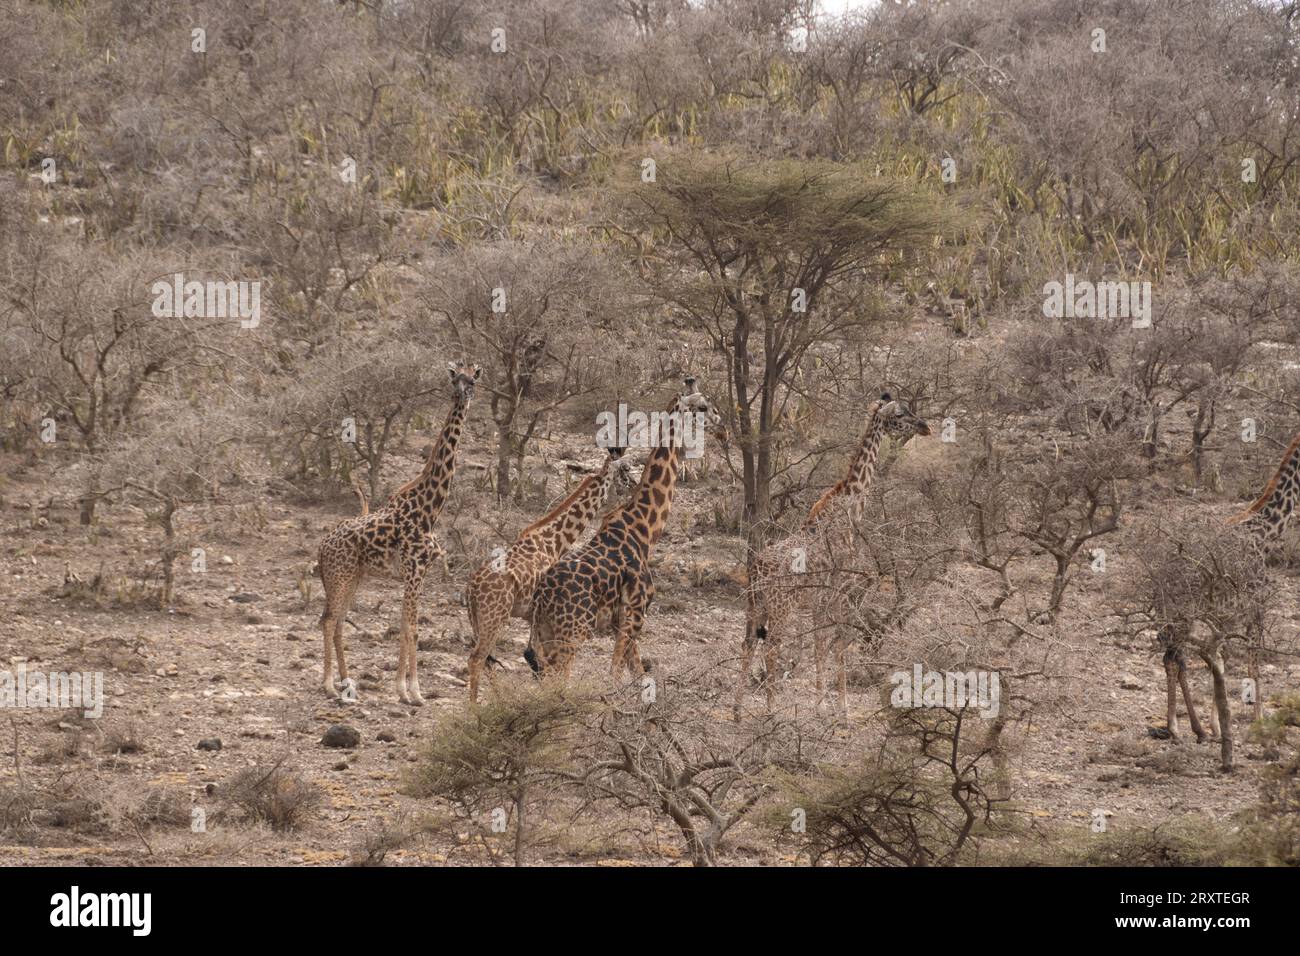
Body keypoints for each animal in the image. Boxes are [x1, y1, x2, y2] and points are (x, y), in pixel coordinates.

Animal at [315, 361, 483, 707]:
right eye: (455, 378)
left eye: (474, 378)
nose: (464, 393)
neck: (430, 511)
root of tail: (322, 547)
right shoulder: (414, 572)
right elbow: (413, 628)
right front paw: (414, 692)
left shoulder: (418, 574)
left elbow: (405, 626)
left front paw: (403, 690)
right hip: (340, 576)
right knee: (328, 620)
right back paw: (329, 686)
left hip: (353, 578)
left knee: (337, 622)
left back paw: (347, 683)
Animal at [465, 447, 637, 702]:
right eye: (625, 470)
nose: (635, 486)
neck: (554, 541)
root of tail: (470, 591)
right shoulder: (540, 612)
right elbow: (542, 659)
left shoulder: (533, 615)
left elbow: (537, 659)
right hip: (494, 618)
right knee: (477, 659)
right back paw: (477, 706)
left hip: (477, 621)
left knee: (486, 660)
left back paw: (497, 698)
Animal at [530, 377, 733, 686]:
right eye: (703, 407)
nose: (723, 428)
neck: (645, 529)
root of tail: (543, 597)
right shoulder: (636, 610)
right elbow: (616, 674)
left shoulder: (620, 619)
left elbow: (636, 670)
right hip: (572, 632)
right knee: (558, 678)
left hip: (545, 634)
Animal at [733, 392, 935, 723]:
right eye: (901, 414)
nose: (925, 426)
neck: (851, 506)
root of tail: (756, 569)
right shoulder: (841, 587)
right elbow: (838, 640)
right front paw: (841, 706)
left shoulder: (820, 597)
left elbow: (819, 644)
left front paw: (820, 704)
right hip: (780, 607)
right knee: (771, 647)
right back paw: (772, 710)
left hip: (754, 605)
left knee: (748, 643)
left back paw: (738, 711)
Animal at [1159, 429, 1300, 743]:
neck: (1267, 530)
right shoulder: (1255, 603)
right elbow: (1253, 663)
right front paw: (1260, 723)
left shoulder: (1226, 614)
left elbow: (1219, 663)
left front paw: (1219, 725)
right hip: (1186, 611)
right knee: (1174, 656)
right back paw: (1181, 728)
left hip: (1176, 611)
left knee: (1173, 656)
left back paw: (1190, 728)